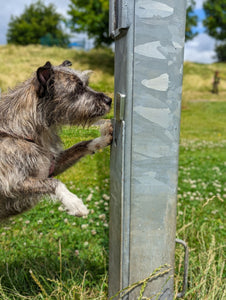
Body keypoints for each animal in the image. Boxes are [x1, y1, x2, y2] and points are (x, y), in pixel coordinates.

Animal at [0, 60, 113, 220]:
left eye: (85, 84)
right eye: (78, 88)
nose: (109, 100)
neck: (21, 132)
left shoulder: (52, 165)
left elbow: (80, 146)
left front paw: (101, 139)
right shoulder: (12, 183)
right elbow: (55, 182)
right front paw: (74, 202)